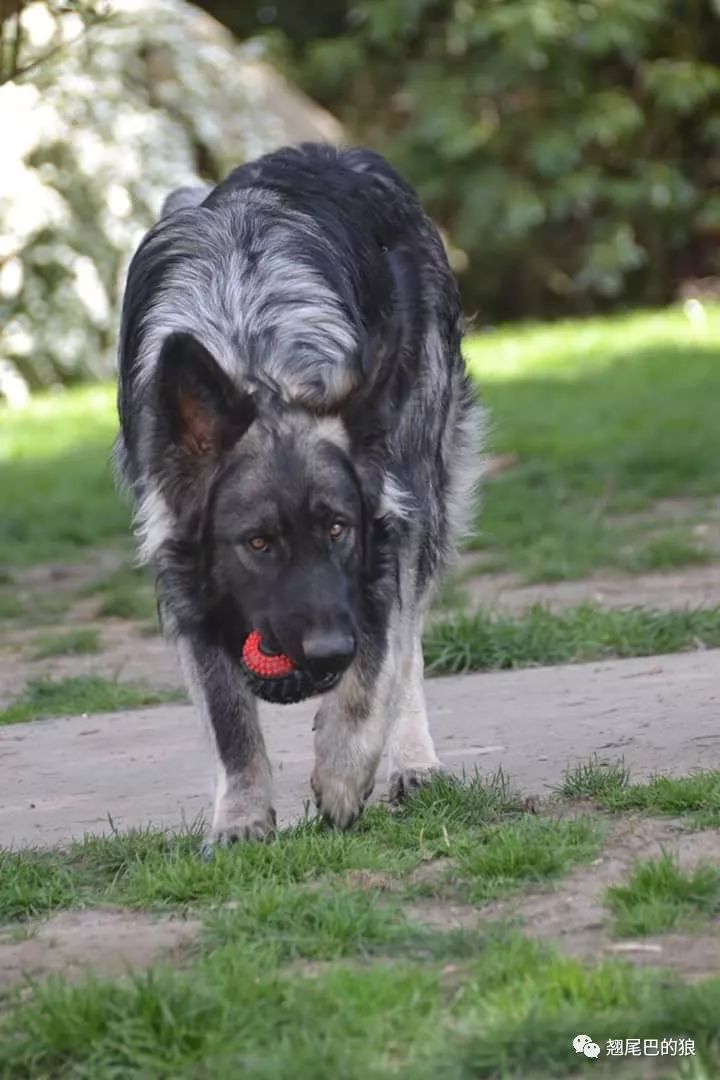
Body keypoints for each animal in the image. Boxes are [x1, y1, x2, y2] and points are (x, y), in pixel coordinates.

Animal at [113, 143, 483, 851]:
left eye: (337, 529)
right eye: (258, 543)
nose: (329, 651)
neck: (258, 361)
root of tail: (338, 151)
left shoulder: (385, 537)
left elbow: (378, 668)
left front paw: (342, 775)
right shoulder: (187, 577)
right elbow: (229, 719)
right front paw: (241, 820)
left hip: (427, 485)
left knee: (408, 647)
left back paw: (414, 761)